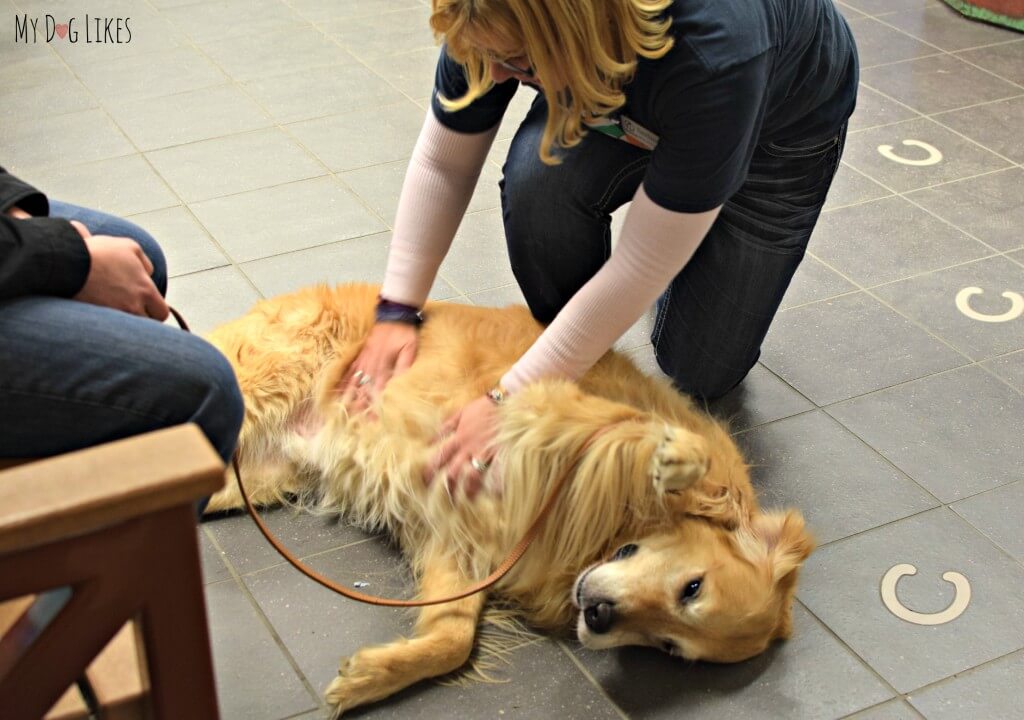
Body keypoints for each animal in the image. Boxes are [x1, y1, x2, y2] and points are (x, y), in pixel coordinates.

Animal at [205, 282, 815, 716]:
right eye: (693, 587)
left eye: (669, 646)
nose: (596, 616)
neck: (601, 534)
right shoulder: (553, 409)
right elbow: (628, 428)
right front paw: (674, 457)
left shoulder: (461, 544)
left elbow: (452, 639)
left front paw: (374, 676)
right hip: (257, 382)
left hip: (248, 481)